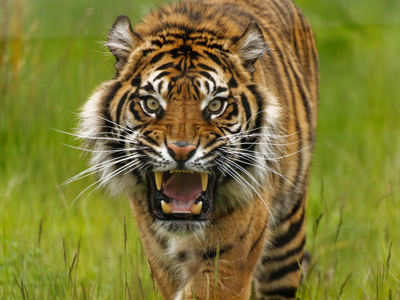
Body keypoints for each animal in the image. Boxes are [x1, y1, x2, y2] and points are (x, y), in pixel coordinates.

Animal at [76, 0, 318, 298]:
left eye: (215, 105)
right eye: (151, 104)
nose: (181, 151)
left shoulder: (227, 260)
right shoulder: (160, 259)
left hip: (286, 241)